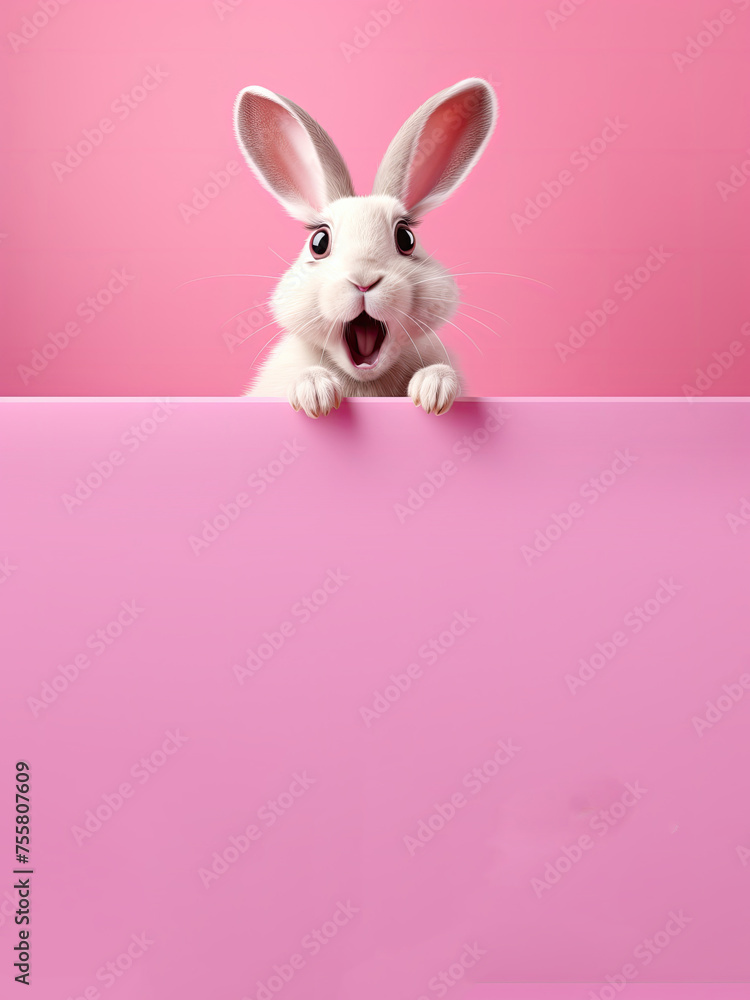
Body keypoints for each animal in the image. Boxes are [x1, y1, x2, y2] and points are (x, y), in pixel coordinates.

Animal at [233, 78, 497, 417]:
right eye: (319, 243)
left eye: (406, 238)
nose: (363, 281)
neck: (365, 381)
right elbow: (303, 376)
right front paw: (316, 395)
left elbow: (440, 373)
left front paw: (433, 391)